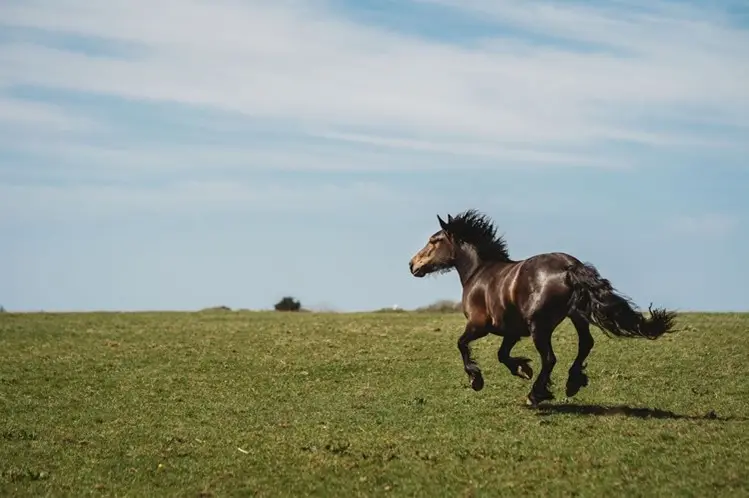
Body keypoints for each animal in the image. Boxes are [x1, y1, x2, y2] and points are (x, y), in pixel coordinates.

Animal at [408, 209, 677, 407]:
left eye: (434, 241)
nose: (412, 264)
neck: (479, 273)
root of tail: (570, 266)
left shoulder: (478, 325)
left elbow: (462, 344)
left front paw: (477, 379)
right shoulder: (512, 331)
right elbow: (502, 354)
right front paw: (523, 368)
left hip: (540, 326)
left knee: (550, 358)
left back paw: (536, 395)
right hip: (576, 315)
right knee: (585, 344)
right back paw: (572, 383)